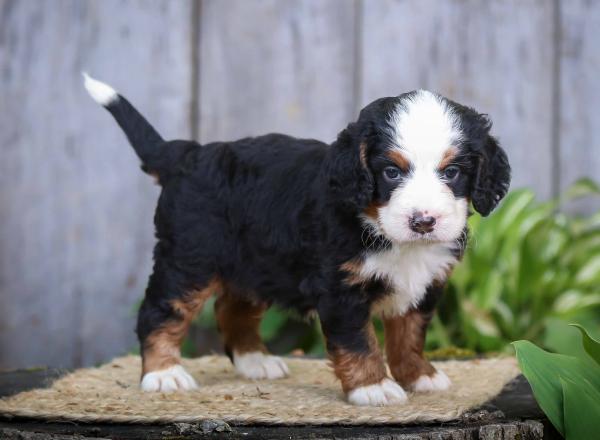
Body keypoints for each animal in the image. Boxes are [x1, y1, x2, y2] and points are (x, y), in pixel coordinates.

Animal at [83, 75, 510, 406]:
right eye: (391, 172)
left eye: (452, 172)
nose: (423, 221)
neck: (381, 228)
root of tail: (188, 154)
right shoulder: (340, 288)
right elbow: (359, 340)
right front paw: (373, 387)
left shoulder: (425, 284)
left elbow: (409, 334)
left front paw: (418, 375)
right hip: (189, 259)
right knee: (160, 311)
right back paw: (164, 374)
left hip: (254, 264)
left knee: (232, 310)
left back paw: (255, 361)